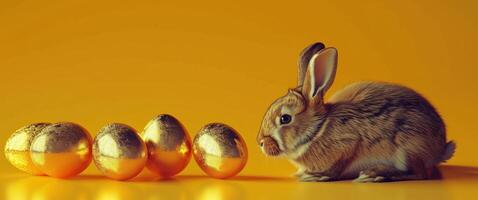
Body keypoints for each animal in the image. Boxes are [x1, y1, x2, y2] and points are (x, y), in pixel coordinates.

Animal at [258, 42, 456, 183]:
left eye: (285, 118)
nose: (260, 142)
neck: (317, 130)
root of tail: (439, 150)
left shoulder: (349, 144)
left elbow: (337, 167)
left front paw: (316, 176)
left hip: (409, 148)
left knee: (419, 173)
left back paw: (376, 175)